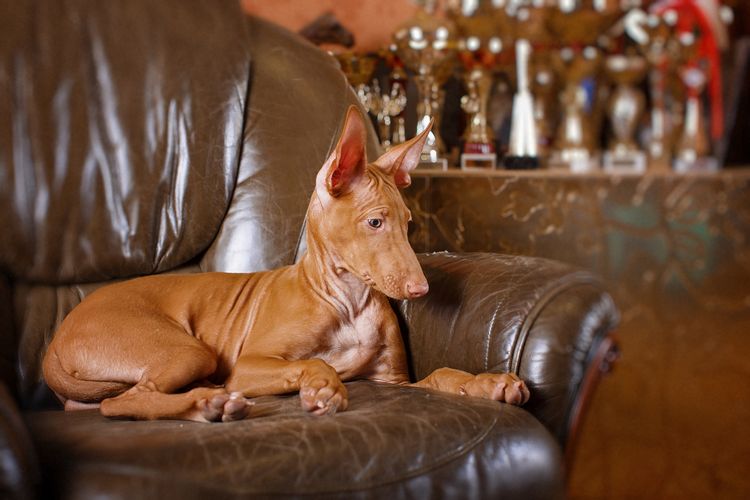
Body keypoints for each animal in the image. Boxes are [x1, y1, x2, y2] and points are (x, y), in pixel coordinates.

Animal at [42, 106, 536, 422]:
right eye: (375, 222)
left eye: (409, 223)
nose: (421, 290)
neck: (348, 302)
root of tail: (58, 336)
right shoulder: (248, 366)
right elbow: (316, 365)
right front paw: (324, 386)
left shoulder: (394, 382)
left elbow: (442, 373)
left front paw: (488, 383)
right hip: (188, 350)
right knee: (122, 402)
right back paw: (208, 405)